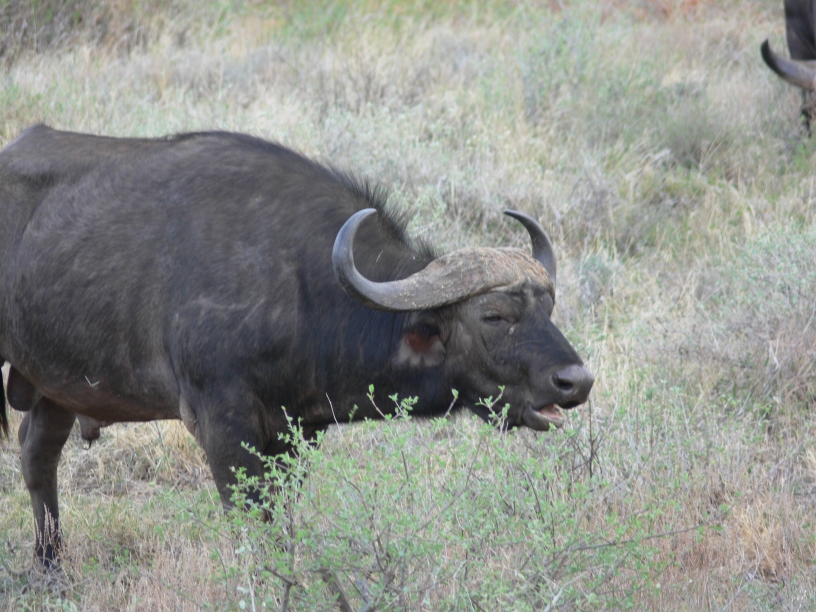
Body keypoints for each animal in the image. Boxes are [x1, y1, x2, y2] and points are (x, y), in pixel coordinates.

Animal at [0, 126, 593, 566]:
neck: (300, 286)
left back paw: (51, 563)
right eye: (493, 316)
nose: (576, 382)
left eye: (548, 308)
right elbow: (249, 520)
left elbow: (279, 518)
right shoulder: (221, 422)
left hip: (54, 384)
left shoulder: (295, 432)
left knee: (37, 453)